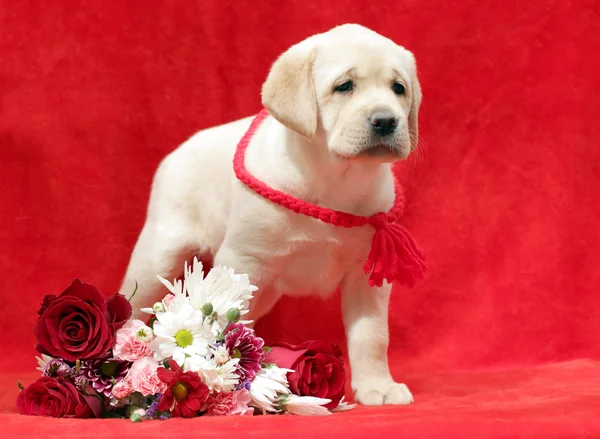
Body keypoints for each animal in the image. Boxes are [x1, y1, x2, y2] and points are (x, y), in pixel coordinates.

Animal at [122, 24, 422, 408]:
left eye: (398, 88)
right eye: (344, 86)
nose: (387, 120)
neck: (333, 178)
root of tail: (176, 153)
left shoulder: (366, 274)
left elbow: (372, 334)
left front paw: (378, 387)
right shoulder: (243, 259)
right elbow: (231, 325)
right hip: (157, 258)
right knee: (132, 305)